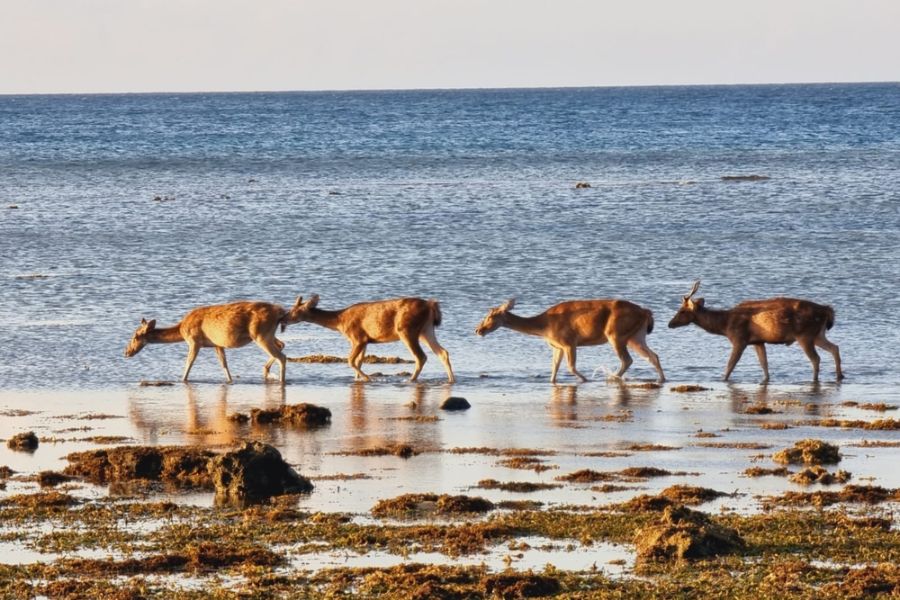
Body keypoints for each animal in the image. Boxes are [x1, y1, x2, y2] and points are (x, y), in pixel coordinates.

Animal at [123, 300, 290, 384]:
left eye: (136, 336)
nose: (126, 352)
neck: (181, 329)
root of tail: (281, 312)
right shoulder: (217, 344)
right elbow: (224, 364)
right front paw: (230, 380)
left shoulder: (194, 340)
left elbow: (189, 363)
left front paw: (182, 379)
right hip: (267, 334)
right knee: (282, 345)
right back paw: (268, 372)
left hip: (260, 334)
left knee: (282, 356)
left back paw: (280, 379)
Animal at [286, 296, 458, 384]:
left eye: (294, 310)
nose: (283, 318)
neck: (340, 322)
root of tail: (431, 305)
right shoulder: (365, 341)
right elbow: (359, 361)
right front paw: (359, 379)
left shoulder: (358, 337)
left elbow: (350, 361)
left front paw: (368, 378)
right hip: (426, 329)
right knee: (443, 352)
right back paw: (451, 379)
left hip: (406, 330)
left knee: (421, 356)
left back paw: (410, 380)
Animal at [474, 296, 664, 384]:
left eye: (490, 316)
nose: (478, 330)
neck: (543, 327)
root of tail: (646, 312)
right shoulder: (557, 346)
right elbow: (554, 369)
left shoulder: (569, 342)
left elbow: (570, 367)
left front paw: (586, 380)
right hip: (636, 335)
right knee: (653, 355)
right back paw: (661, 379)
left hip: (616, 334)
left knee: (627, 359)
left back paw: (613, 378)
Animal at [668, 278, 844, 382]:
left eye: (682, 311)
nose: (670, 324)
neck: (725, 325)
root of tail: (827, 310)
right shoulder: (758, 341)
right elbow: (764, 365)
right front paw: (765, 380)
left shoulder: (739, 339)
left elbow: (730, 364)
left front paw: (722, 379)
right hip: (818, 334)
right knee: (835, 347)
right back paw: (839, 375)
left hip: (805, 335)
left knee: (816, 358)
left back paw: (815, 380)